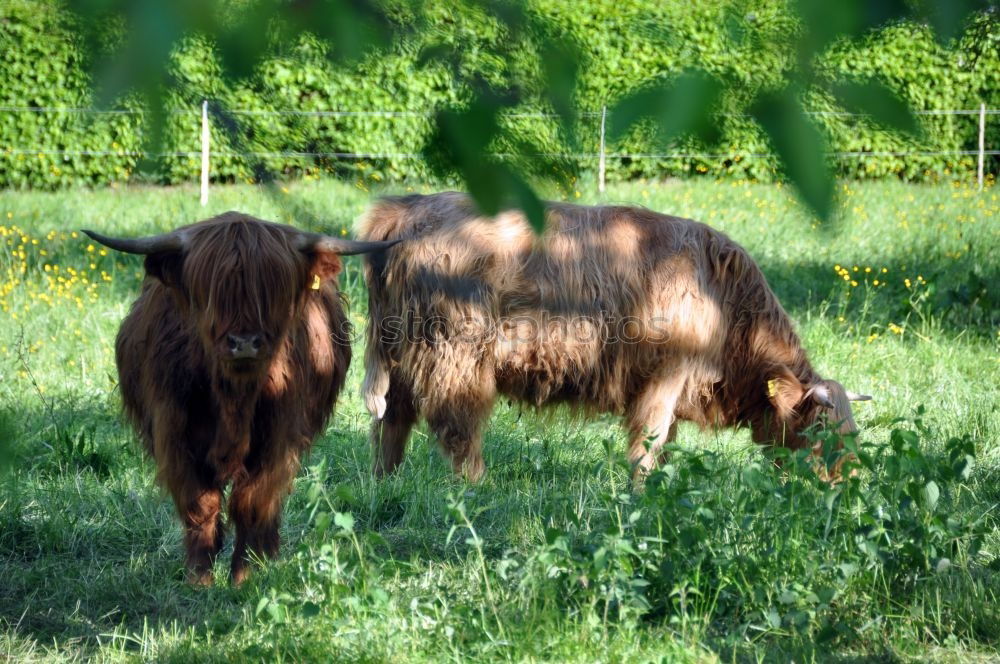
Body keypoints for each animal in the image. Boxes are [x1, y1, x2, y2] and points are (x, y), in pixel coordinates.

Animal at [358, 192, 868, 482]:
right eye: (821, 434)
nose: (842, 487)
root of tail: (409, 206)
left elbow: (665, 444)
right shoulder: (666, 375)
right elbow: (649, 441)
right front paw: (640, 494)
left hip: (401, 349)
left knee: (393, 418)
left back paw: (385, 482)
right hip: (456, 355)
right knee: (456, 426)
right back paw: (478, 487)